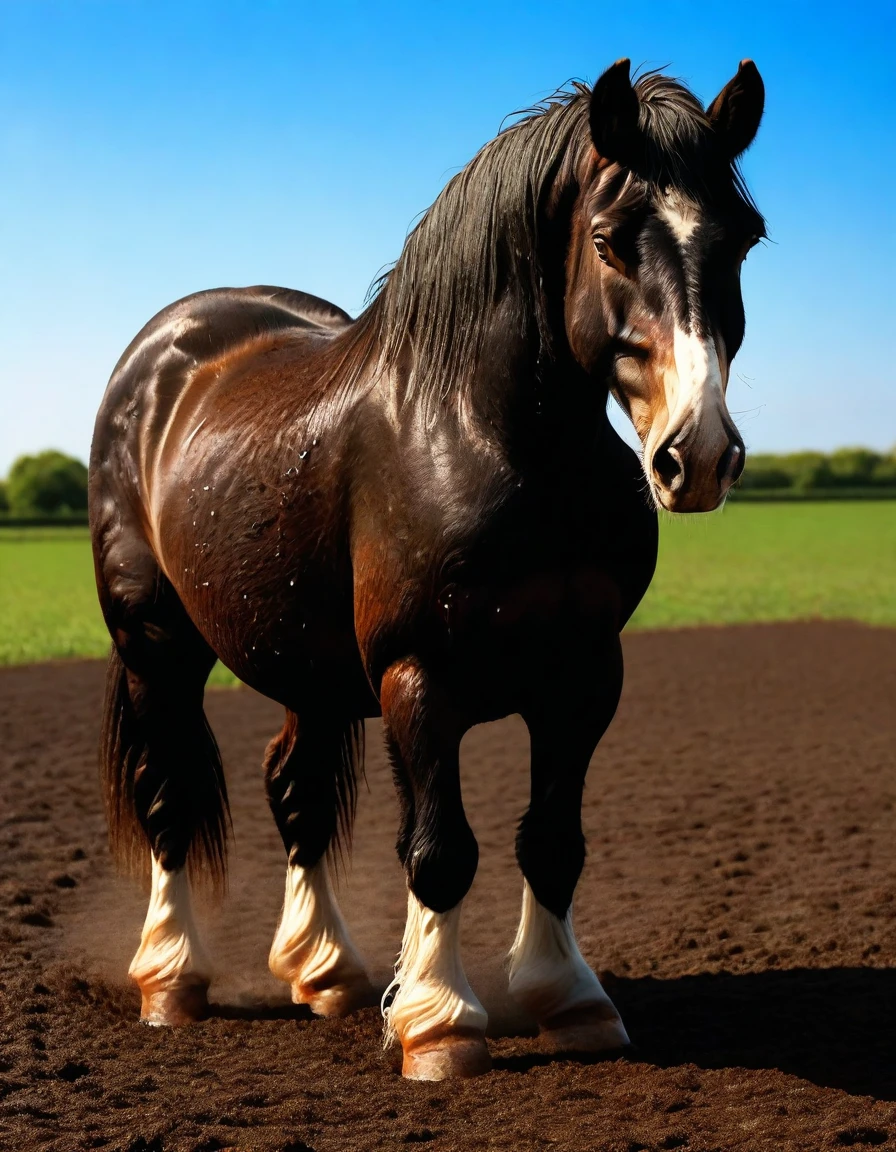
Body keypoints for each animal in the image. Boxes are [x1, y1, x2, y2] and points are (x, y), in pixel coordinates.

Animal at [89, 56, 760, 1078]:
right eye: (609, 240)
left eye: (745, 241)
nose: (700, 454)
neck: (491, 441)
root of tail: (164, 352)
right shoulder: (419, 679)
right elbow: (441, 850)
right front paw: (440, 1025)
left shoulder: (584, 678)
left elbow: (551, 841)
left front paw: (570, 999)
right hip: (155, 648)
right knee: (169, 798)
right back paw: (171, 980)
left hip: (308, 671)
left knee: (294, 795)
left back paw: (327, 972)